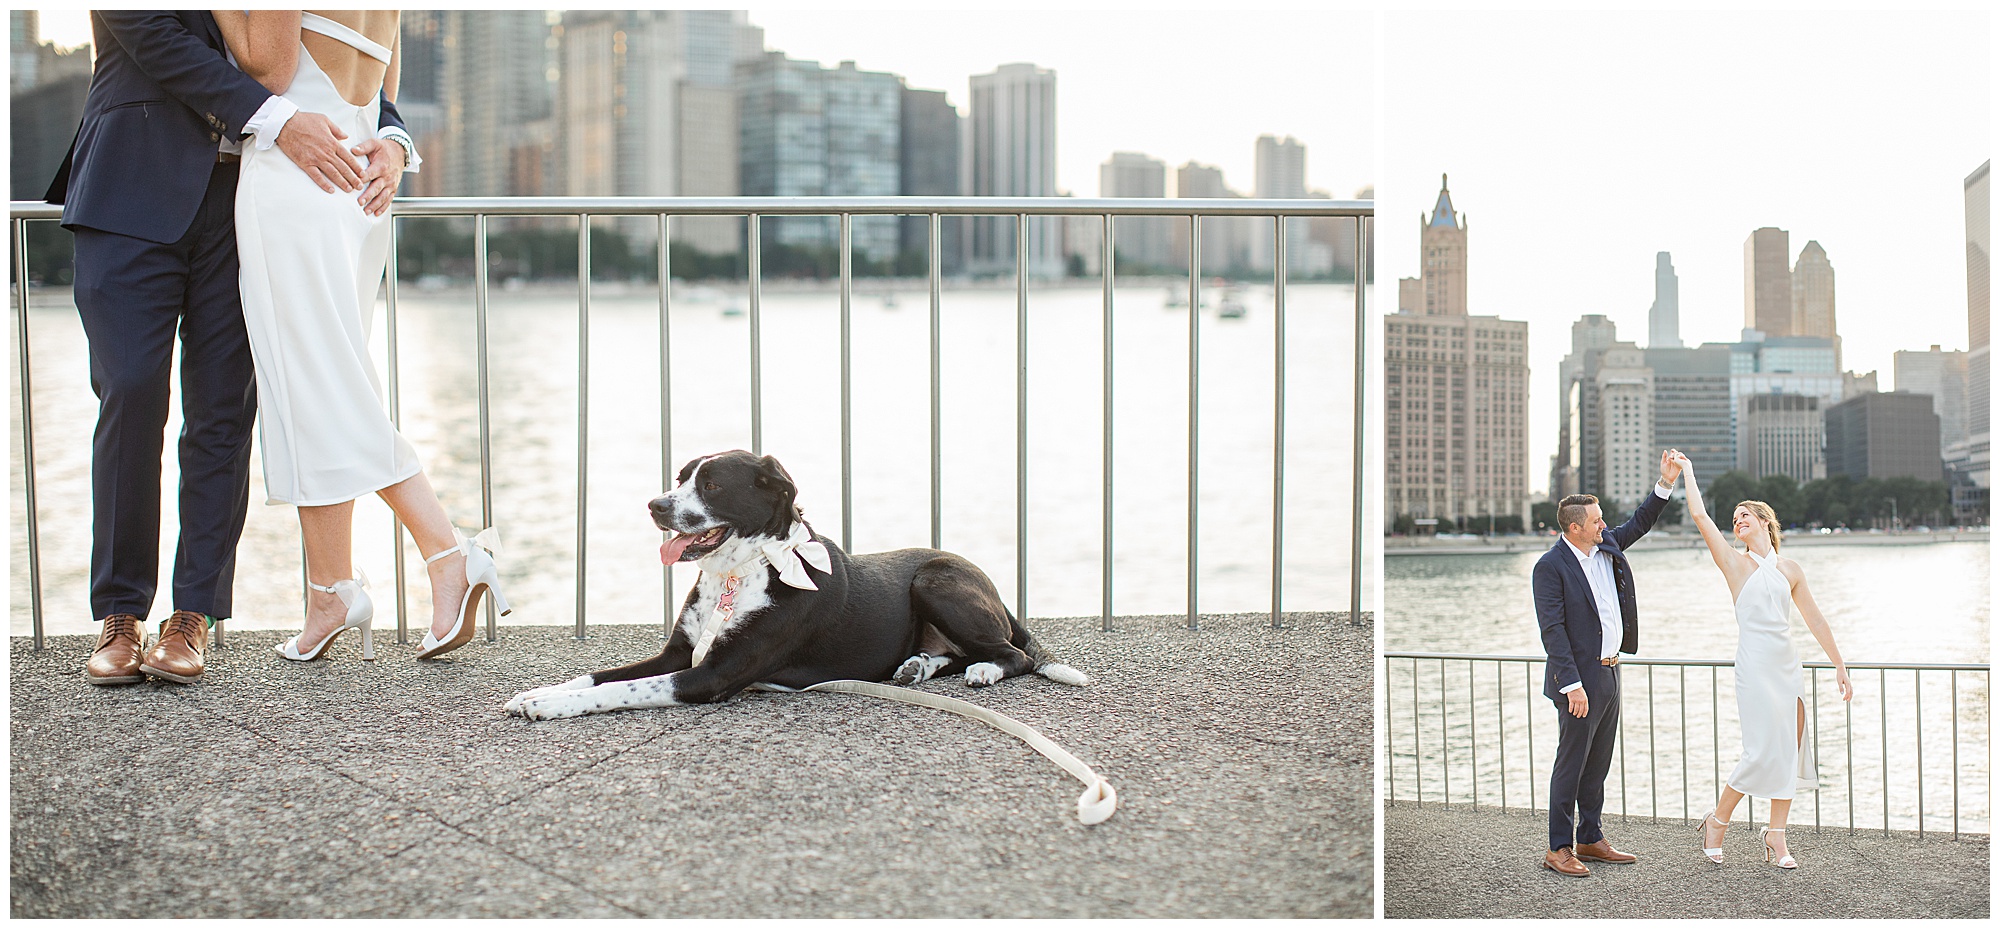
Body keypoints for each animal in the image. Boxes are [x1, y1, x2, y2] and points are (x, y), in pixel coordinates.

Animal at [508, 448, 1088, 716]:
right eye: (680, 478)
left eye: (711, 484)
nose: (655, 506)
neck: (741, 570)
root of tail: (991, 586)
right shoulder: (677, 655)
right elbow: (597, 675)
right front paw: (536, 692)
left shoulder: (708, 676)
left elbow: (619, 689)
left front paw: (549, 707)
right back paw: (918, 665)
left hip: (934, 581)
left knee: (1015, 654)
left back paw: (984, 670)